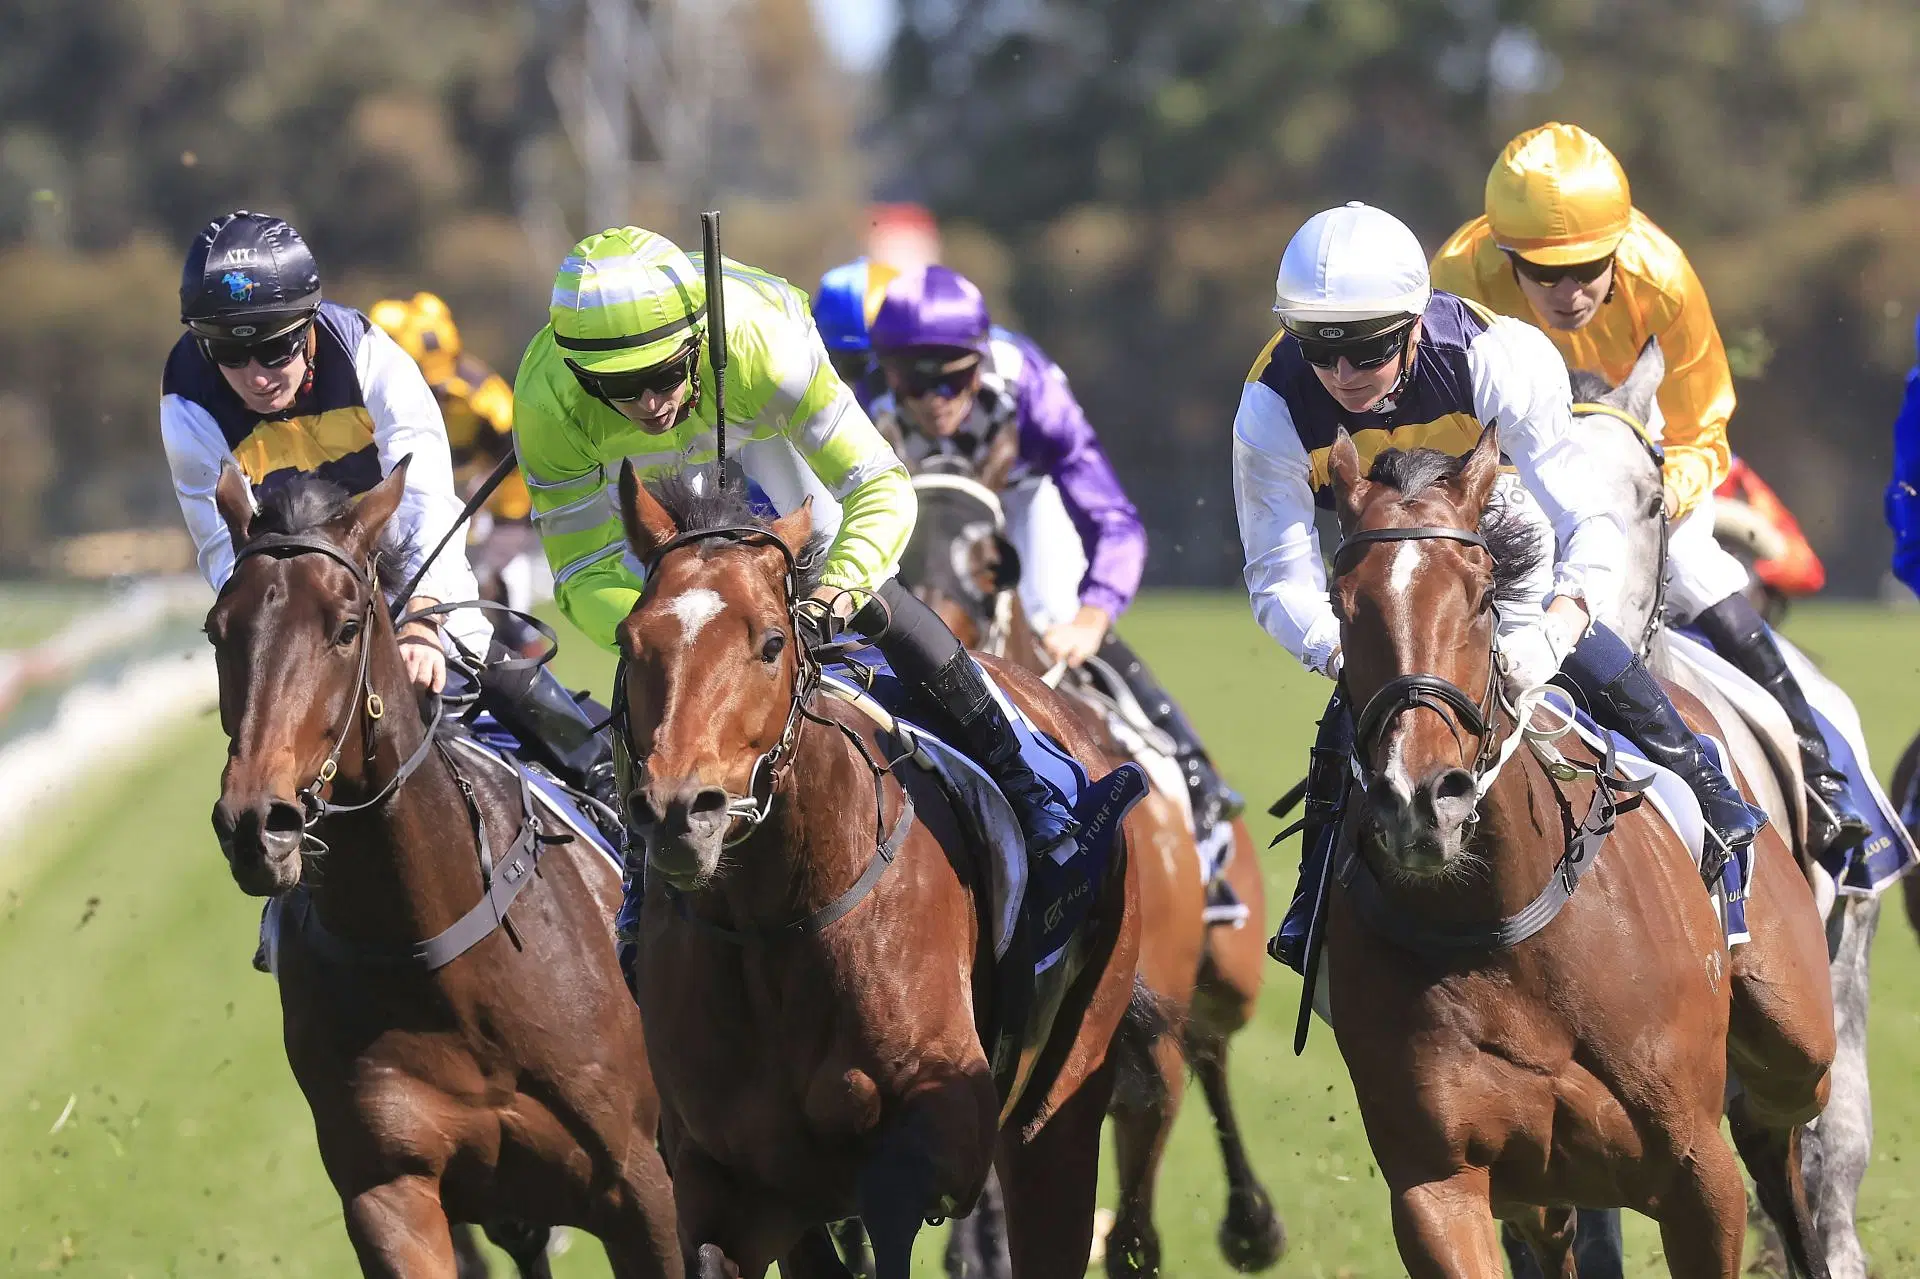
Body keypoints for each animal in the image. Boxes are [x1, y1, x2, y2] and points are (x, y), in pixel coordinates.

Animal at [610, 462, 1136, 1275]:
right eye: (630, 641)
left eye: (770, 643)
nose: (679, 811)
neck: (775, 920)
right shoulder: (722, 1179)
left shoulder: (947, 1124)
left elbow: (895, 1195)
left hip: (1064, 1100)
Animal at [898, 468, 1290, 1275]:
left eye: (992, 570)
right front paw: (979, 1247)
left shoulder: (1139, 1042)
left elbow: (1134, 1227)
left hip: (1232, 974)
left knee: (1212, 1048)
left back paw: (1251, 1220)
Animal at [1313, 428, 1835, 1275]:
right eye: (1342, 600)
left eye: (1482, 595)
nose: (1420, 799)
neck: (1499, 922)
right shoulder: (1439, 1185)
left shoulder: (1699, 1170)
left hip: (1798, 1034)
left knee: (1776, 1128)